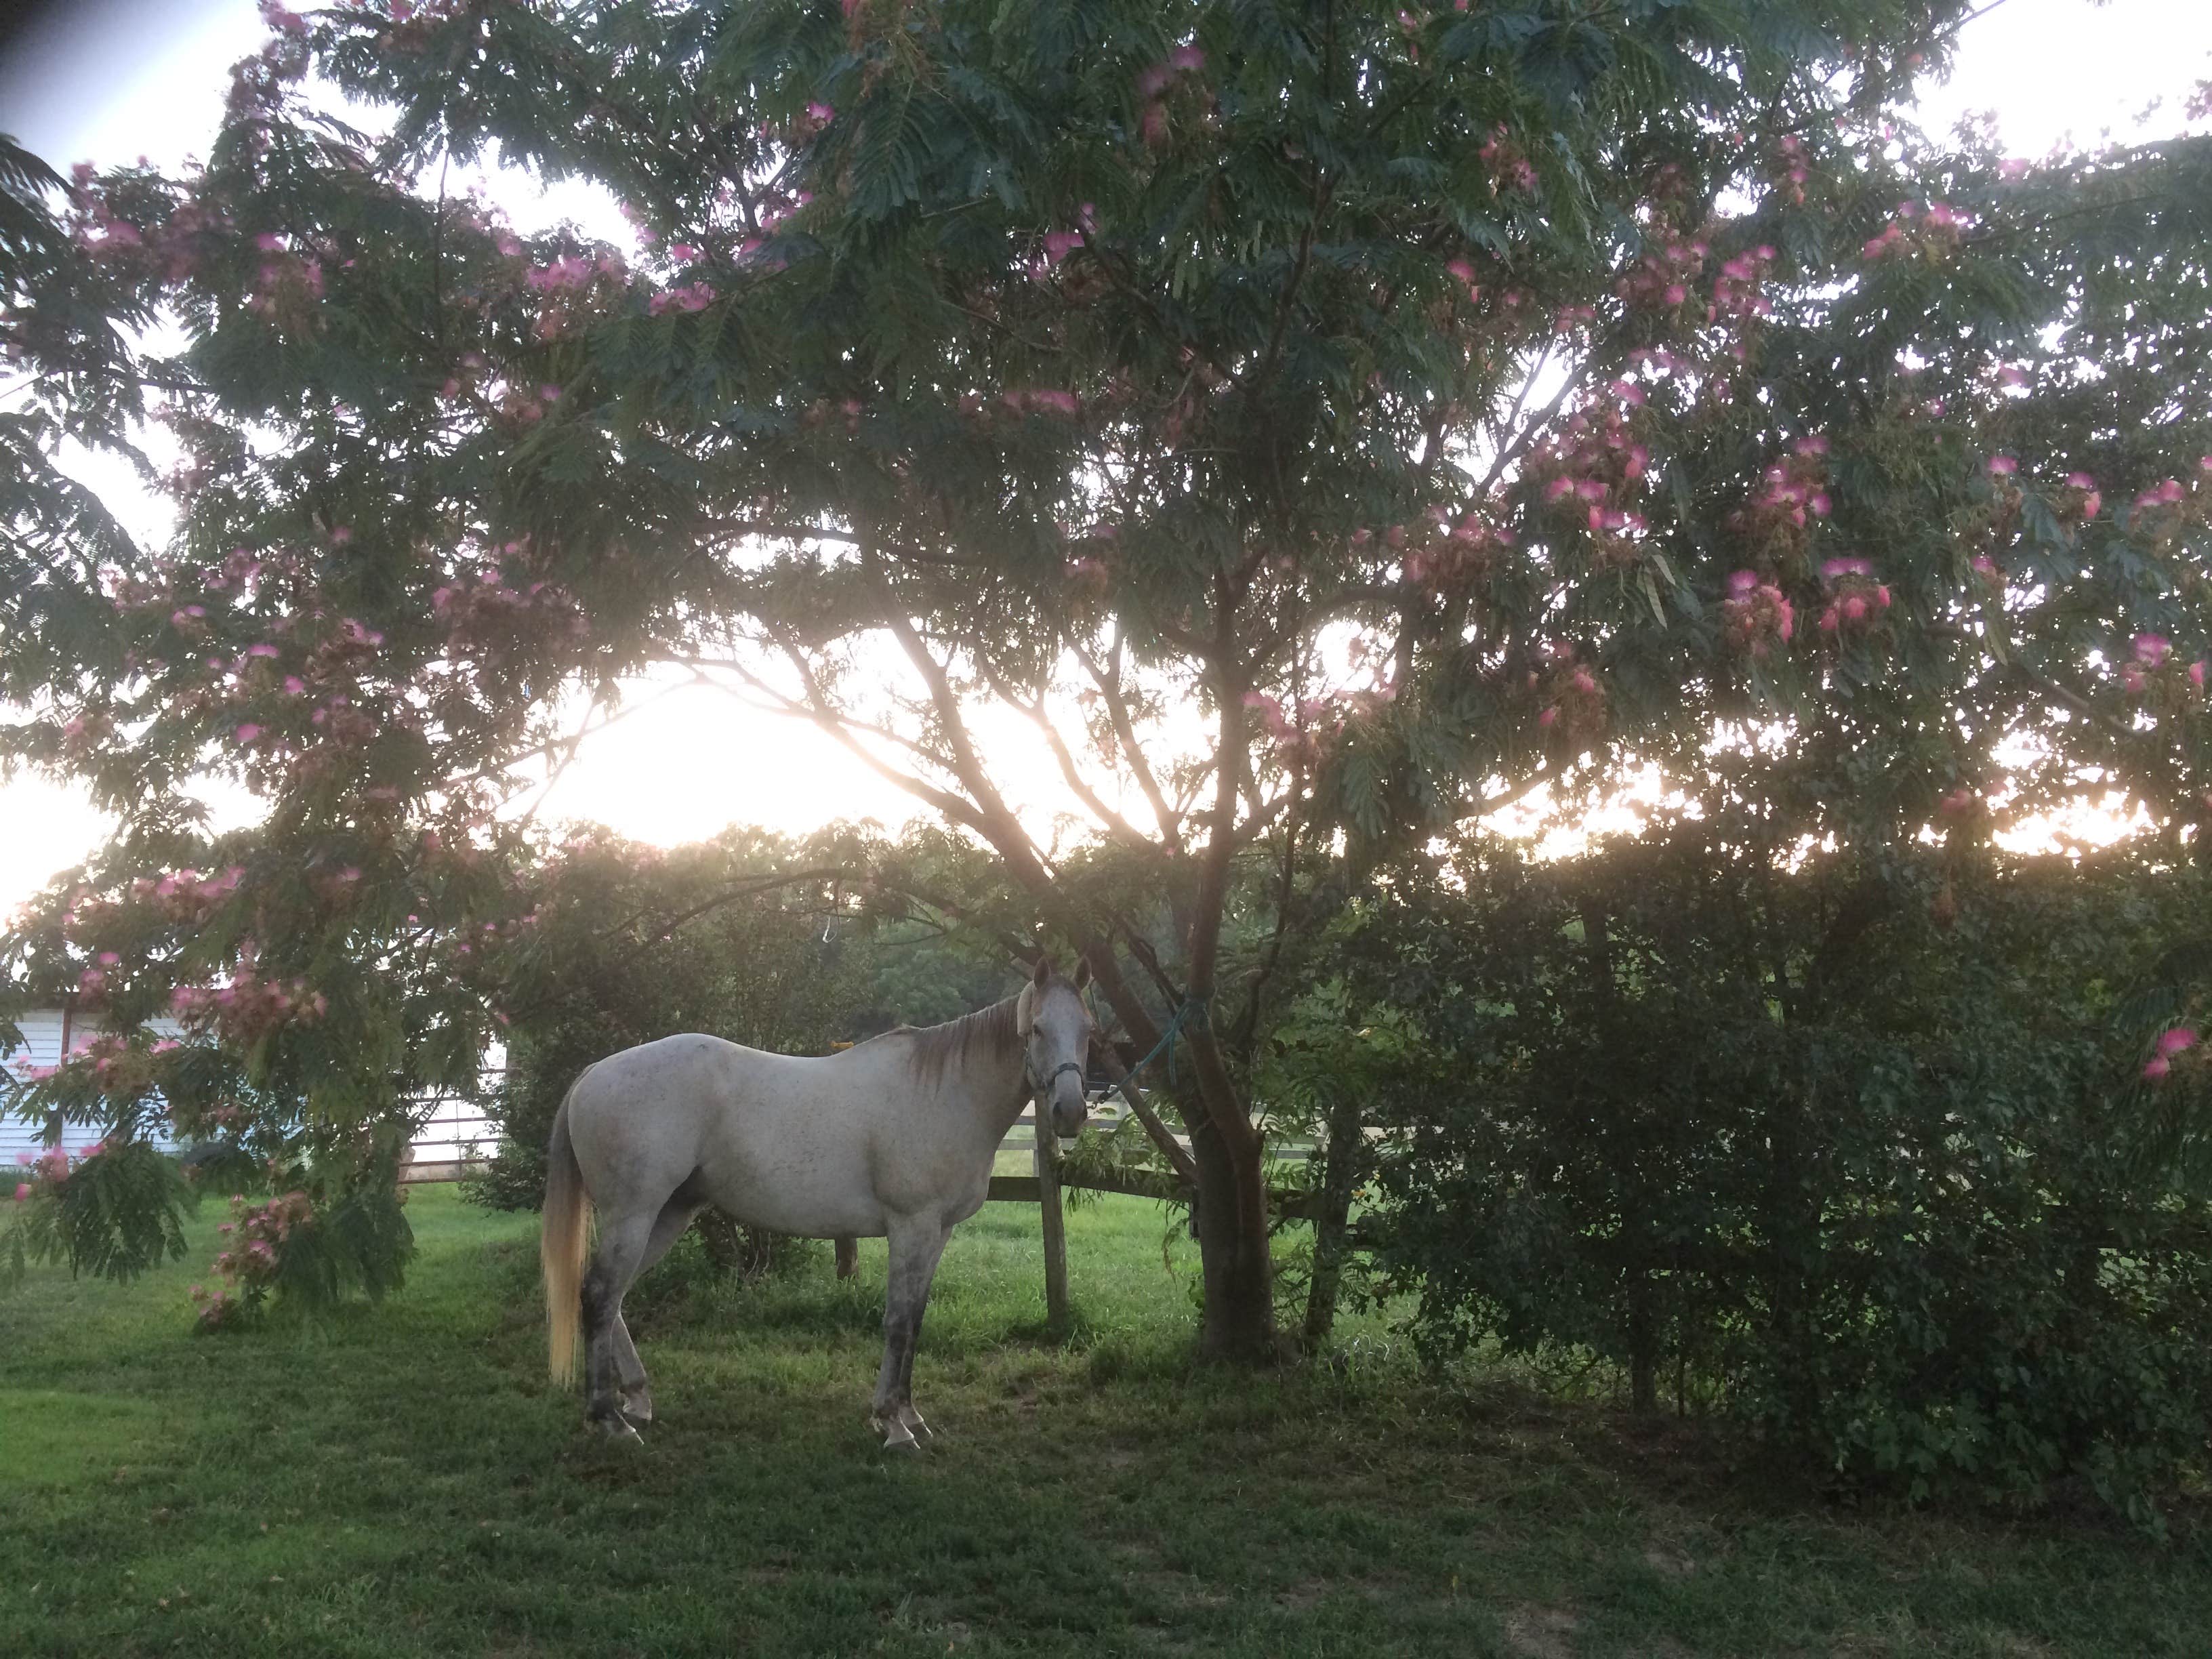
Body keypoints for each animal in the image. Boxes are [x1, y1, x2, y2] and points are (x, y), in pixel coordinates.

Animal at [540, 957, 1096, 1448]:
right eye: (1038, 1029)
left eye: (1088, 1030)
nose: (1069, 1112)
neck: (942, 1092)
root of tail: (594, 1073)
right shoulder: (910, 1227)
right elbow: (897, 1323)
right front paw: (892, 1424)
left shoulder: (939, 1232)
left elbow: (916, 1320)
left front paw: (910, 1414)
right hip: (632, 1215)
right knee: (599, 1295)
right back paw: (608, 1418)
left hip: (669, 1213)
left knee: (615, 1298)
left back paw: (635, 1399)